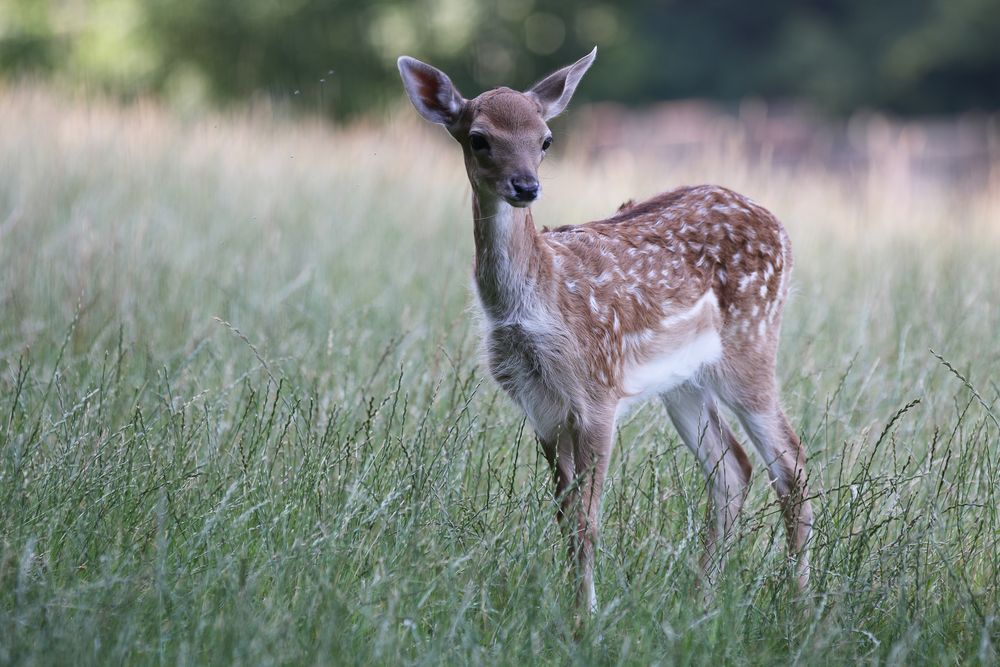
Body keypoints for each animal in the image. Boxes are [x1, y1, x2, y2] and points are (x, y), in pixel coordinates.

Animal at [398, 45, 812, 612]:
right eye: (478, 137)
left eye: (545, 139)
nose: (525, 186)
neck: (537, 301)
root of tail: (782, 227)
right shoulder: (542, 407)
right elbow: (564, 520)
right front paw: (574, 608)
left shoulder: (597, 393)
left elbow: (587, 524)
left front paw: (585, 616)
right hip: (683, 381)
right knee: (733, 469)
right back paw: (700, 601)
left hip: (751, 345)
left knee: (791, 463)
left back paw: (799, 602)